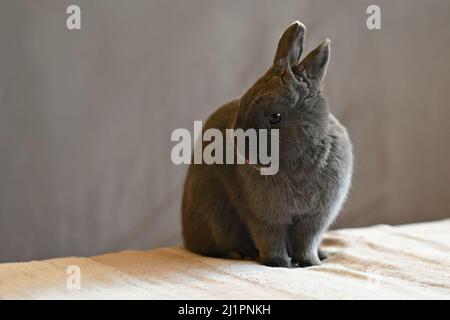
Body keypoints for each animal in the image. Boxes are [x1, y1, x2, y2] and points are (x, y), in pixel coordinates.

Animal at [181, 20, 354, 268]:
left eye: (276, 117)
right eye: (243, 101)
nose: (242, 151)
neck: (299, 157)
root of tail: (187, 239)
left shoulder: (316, 217)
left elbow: (307, 241)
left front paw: (310, 262)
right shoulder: (263, 217)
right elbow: (270, 239)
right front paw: (280, 264)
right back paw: (240, 254)